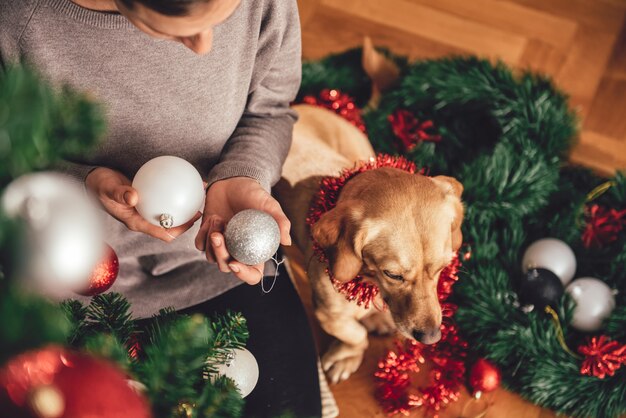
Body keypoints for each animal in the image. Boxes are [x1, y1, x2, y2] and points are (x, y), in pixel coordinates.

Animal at [274, 103, 464, 384]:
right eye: (393, 274)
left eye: (442, 268)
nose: (431, 338)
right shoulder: (329, 315)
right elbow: (356, 335)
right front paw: (347, 356)